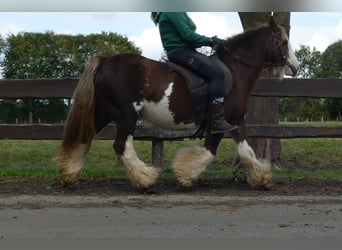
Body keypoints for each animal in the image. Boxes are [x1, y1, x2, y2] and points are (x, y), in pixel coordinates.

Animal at [56, 16, 300, 189]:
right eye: (284, 41)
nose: (295, 67)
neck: (234, 70)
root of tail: (106, 61)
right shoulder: (223, 121)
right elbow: (211, 152)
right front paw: (185, 175)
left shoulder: (236, 121)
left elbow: (246, 151)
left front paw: (262, 178)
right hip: (126, 114)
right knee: (121, 147)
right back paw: (145, 179)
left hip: (103, 112)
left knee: (83, 138)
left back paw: (69, 175)